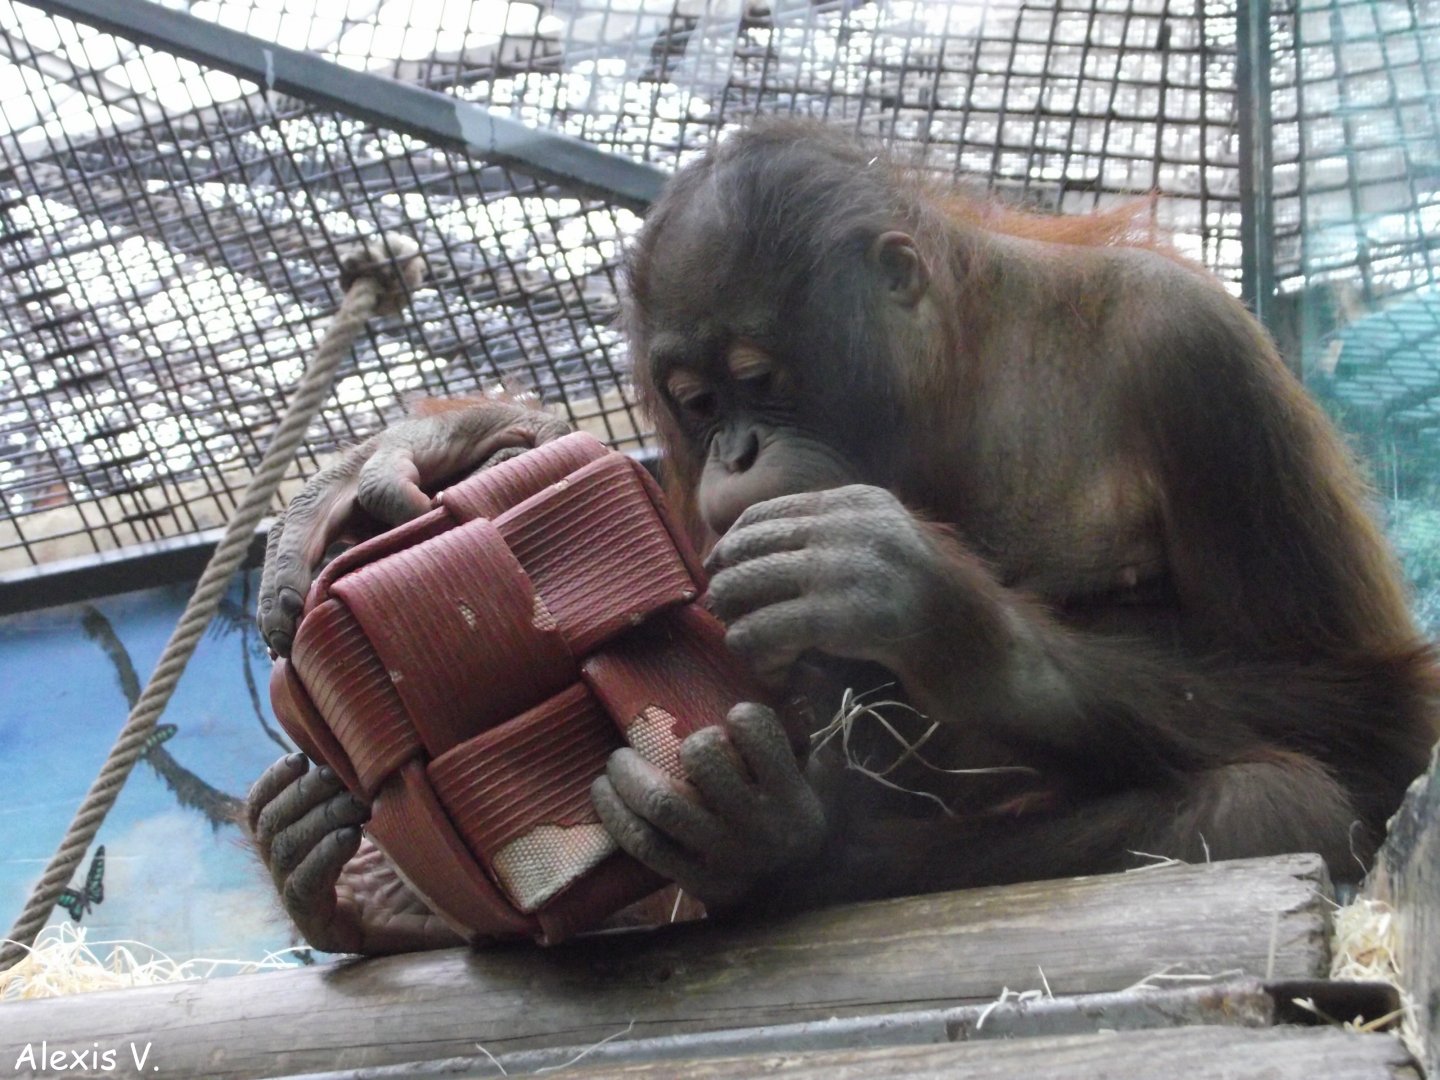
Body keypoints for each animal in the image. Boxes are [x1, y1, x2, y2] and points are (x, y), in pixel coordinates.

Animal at [250, 120, 1439, 953]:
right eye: (695, 403)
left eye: (759, 380)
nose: (734, 452)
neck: (958, 389)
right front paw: (417, 456)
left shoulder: (1198, 354)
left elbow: (1380, 714)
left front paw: (929, 607)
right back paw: (361, 887)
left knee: (1263, 803)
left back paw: (799, 849)